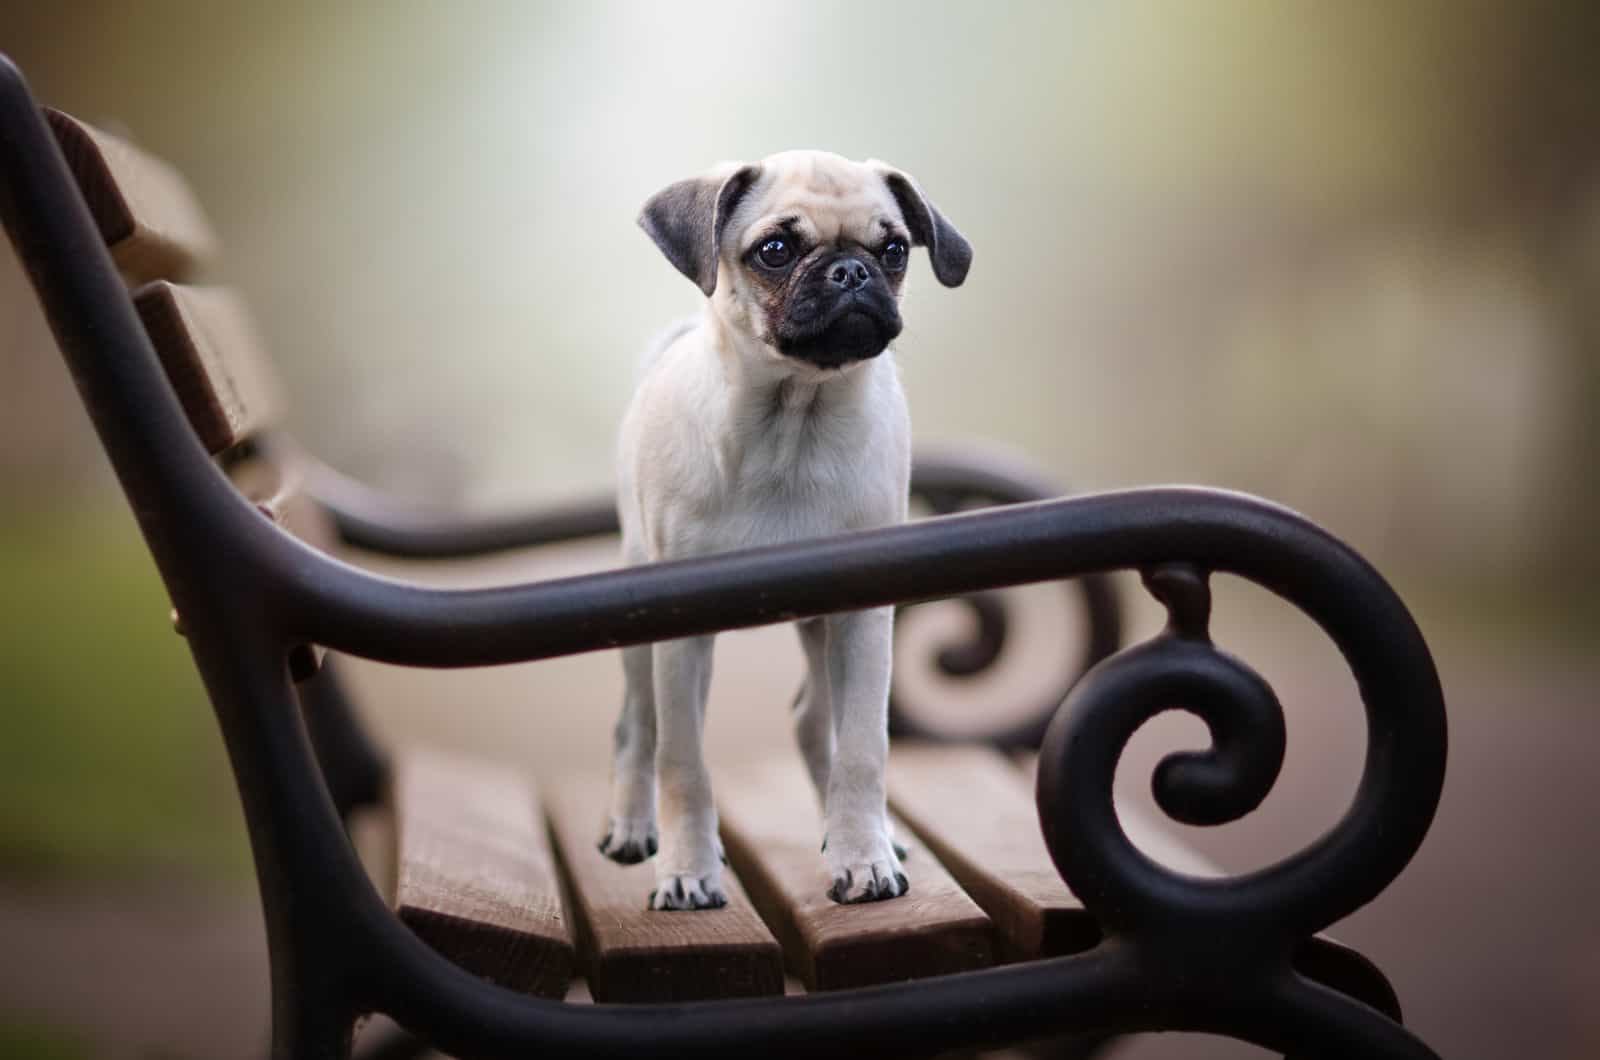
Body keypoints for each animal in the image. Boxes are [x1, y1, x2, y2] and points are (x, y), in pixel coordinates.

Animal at [604, 149, 966, 915]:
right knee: (638, 726)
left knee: (813, 721)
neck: (792, 424)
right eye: (775, 250)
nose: (850, 271)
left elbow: (862, 750)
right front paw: (688, 869)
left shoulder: (862, 621)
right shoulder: (679, 636)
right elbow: (683, 762)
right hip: (638, 624)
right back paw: (632, 827)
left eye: (894, 250)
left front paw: (862, 854)